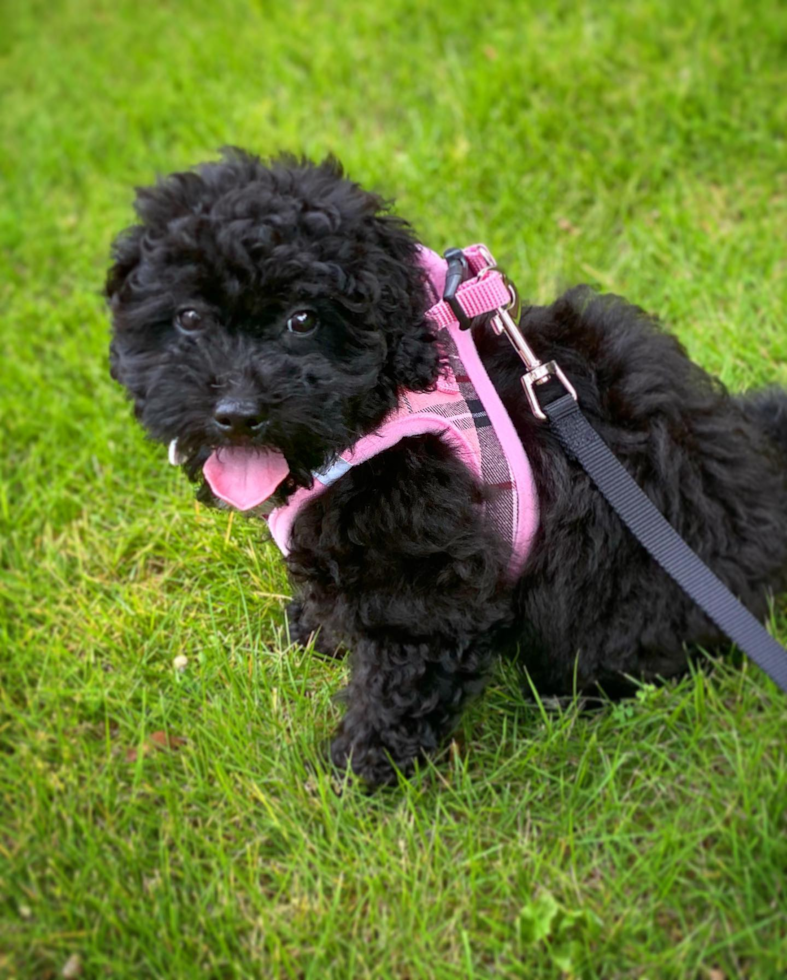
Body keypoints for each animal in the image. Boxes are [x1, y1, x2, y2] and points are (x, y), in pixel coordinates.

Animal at [106, 149, 787, 784]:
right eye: (189, 317)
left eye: (304, 319)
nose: (238, 414)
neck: (387, 399)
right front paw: (318, 632)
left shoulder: (427, 567)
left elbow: (402, 670)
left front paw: (356, 773)